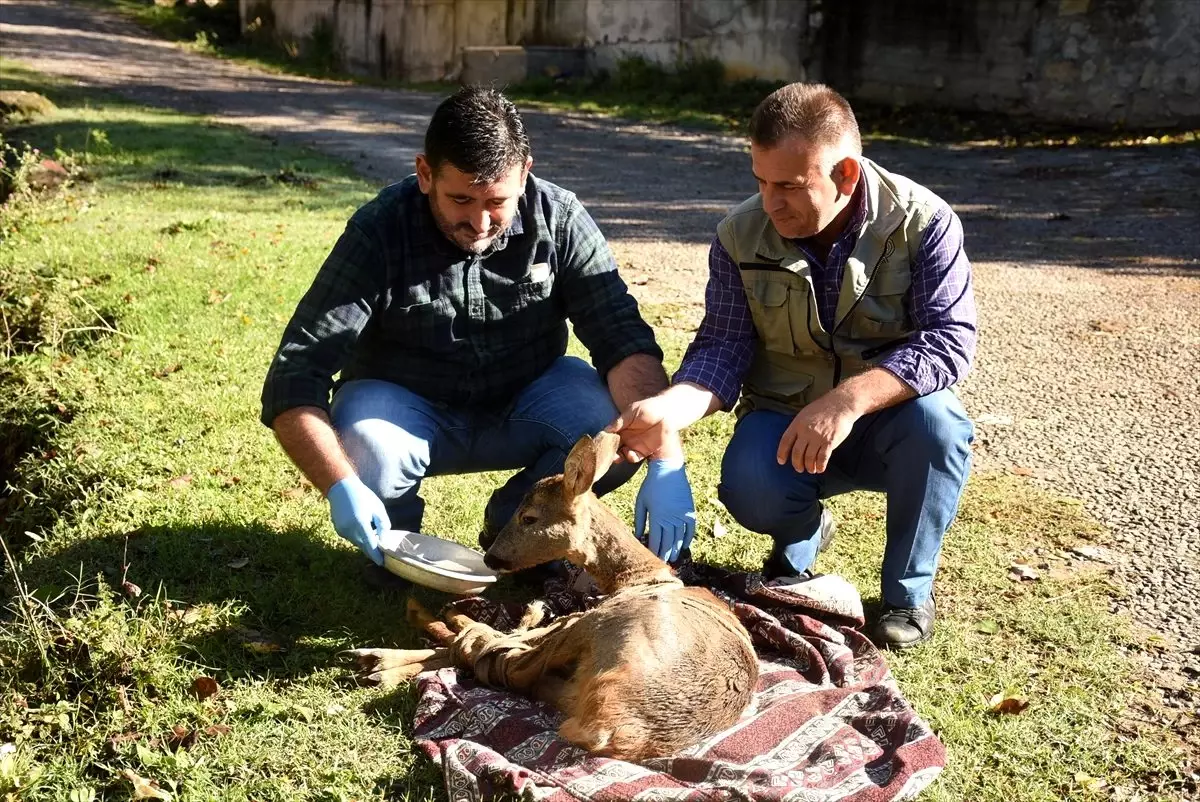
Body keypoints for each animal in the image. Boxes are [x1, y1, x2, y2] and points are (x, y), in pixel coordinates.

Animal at [348, 432, 758, 758]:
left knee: (500, 659)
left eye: (529, 517)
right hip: (574, 676)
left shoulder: (585, 617)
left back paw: (391, 650)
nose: (490, 557)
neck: (641, 578)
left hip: (602, 628)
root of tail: (611, 727)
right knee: (509, 663)